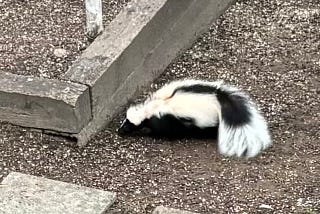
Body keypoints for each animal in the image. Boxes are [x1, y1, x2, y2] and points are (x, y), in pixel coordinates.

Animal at [118, 79, 272, 158]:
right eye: (124, 122)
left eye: (127, 126)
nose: (118, 131)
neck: (152, 108)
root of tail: (218, 97)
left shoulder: (166, 119)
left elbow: (166, 131)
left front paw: (156, 136)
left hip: (207, 121)